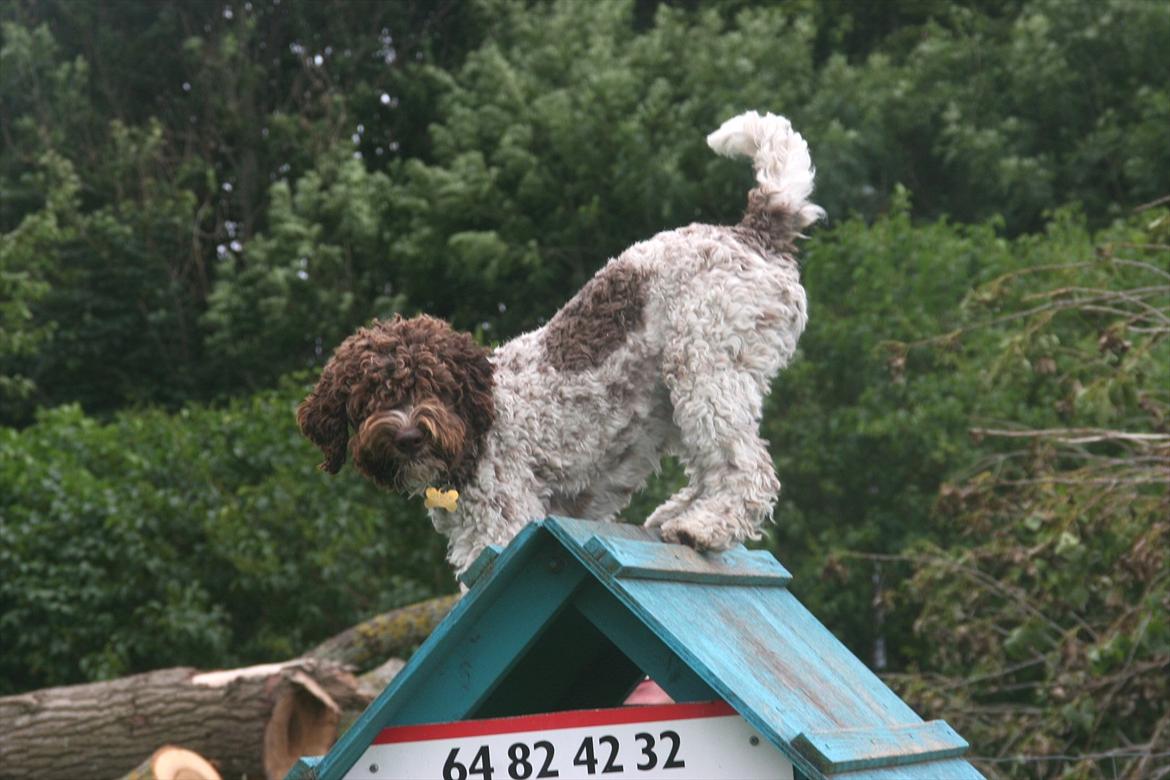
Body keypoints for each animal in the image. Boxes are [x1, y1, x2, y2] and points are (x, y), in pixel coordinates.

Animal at [297, 109, 819, 577]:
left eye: (435, 385)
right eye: (370, 398)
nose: (408, 436)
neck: (479, 418)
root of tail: (755, 229)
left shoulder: (503, 521)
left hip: (704, 367)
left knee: (747, 470)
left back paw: (701, 527)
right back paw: (676, 517)